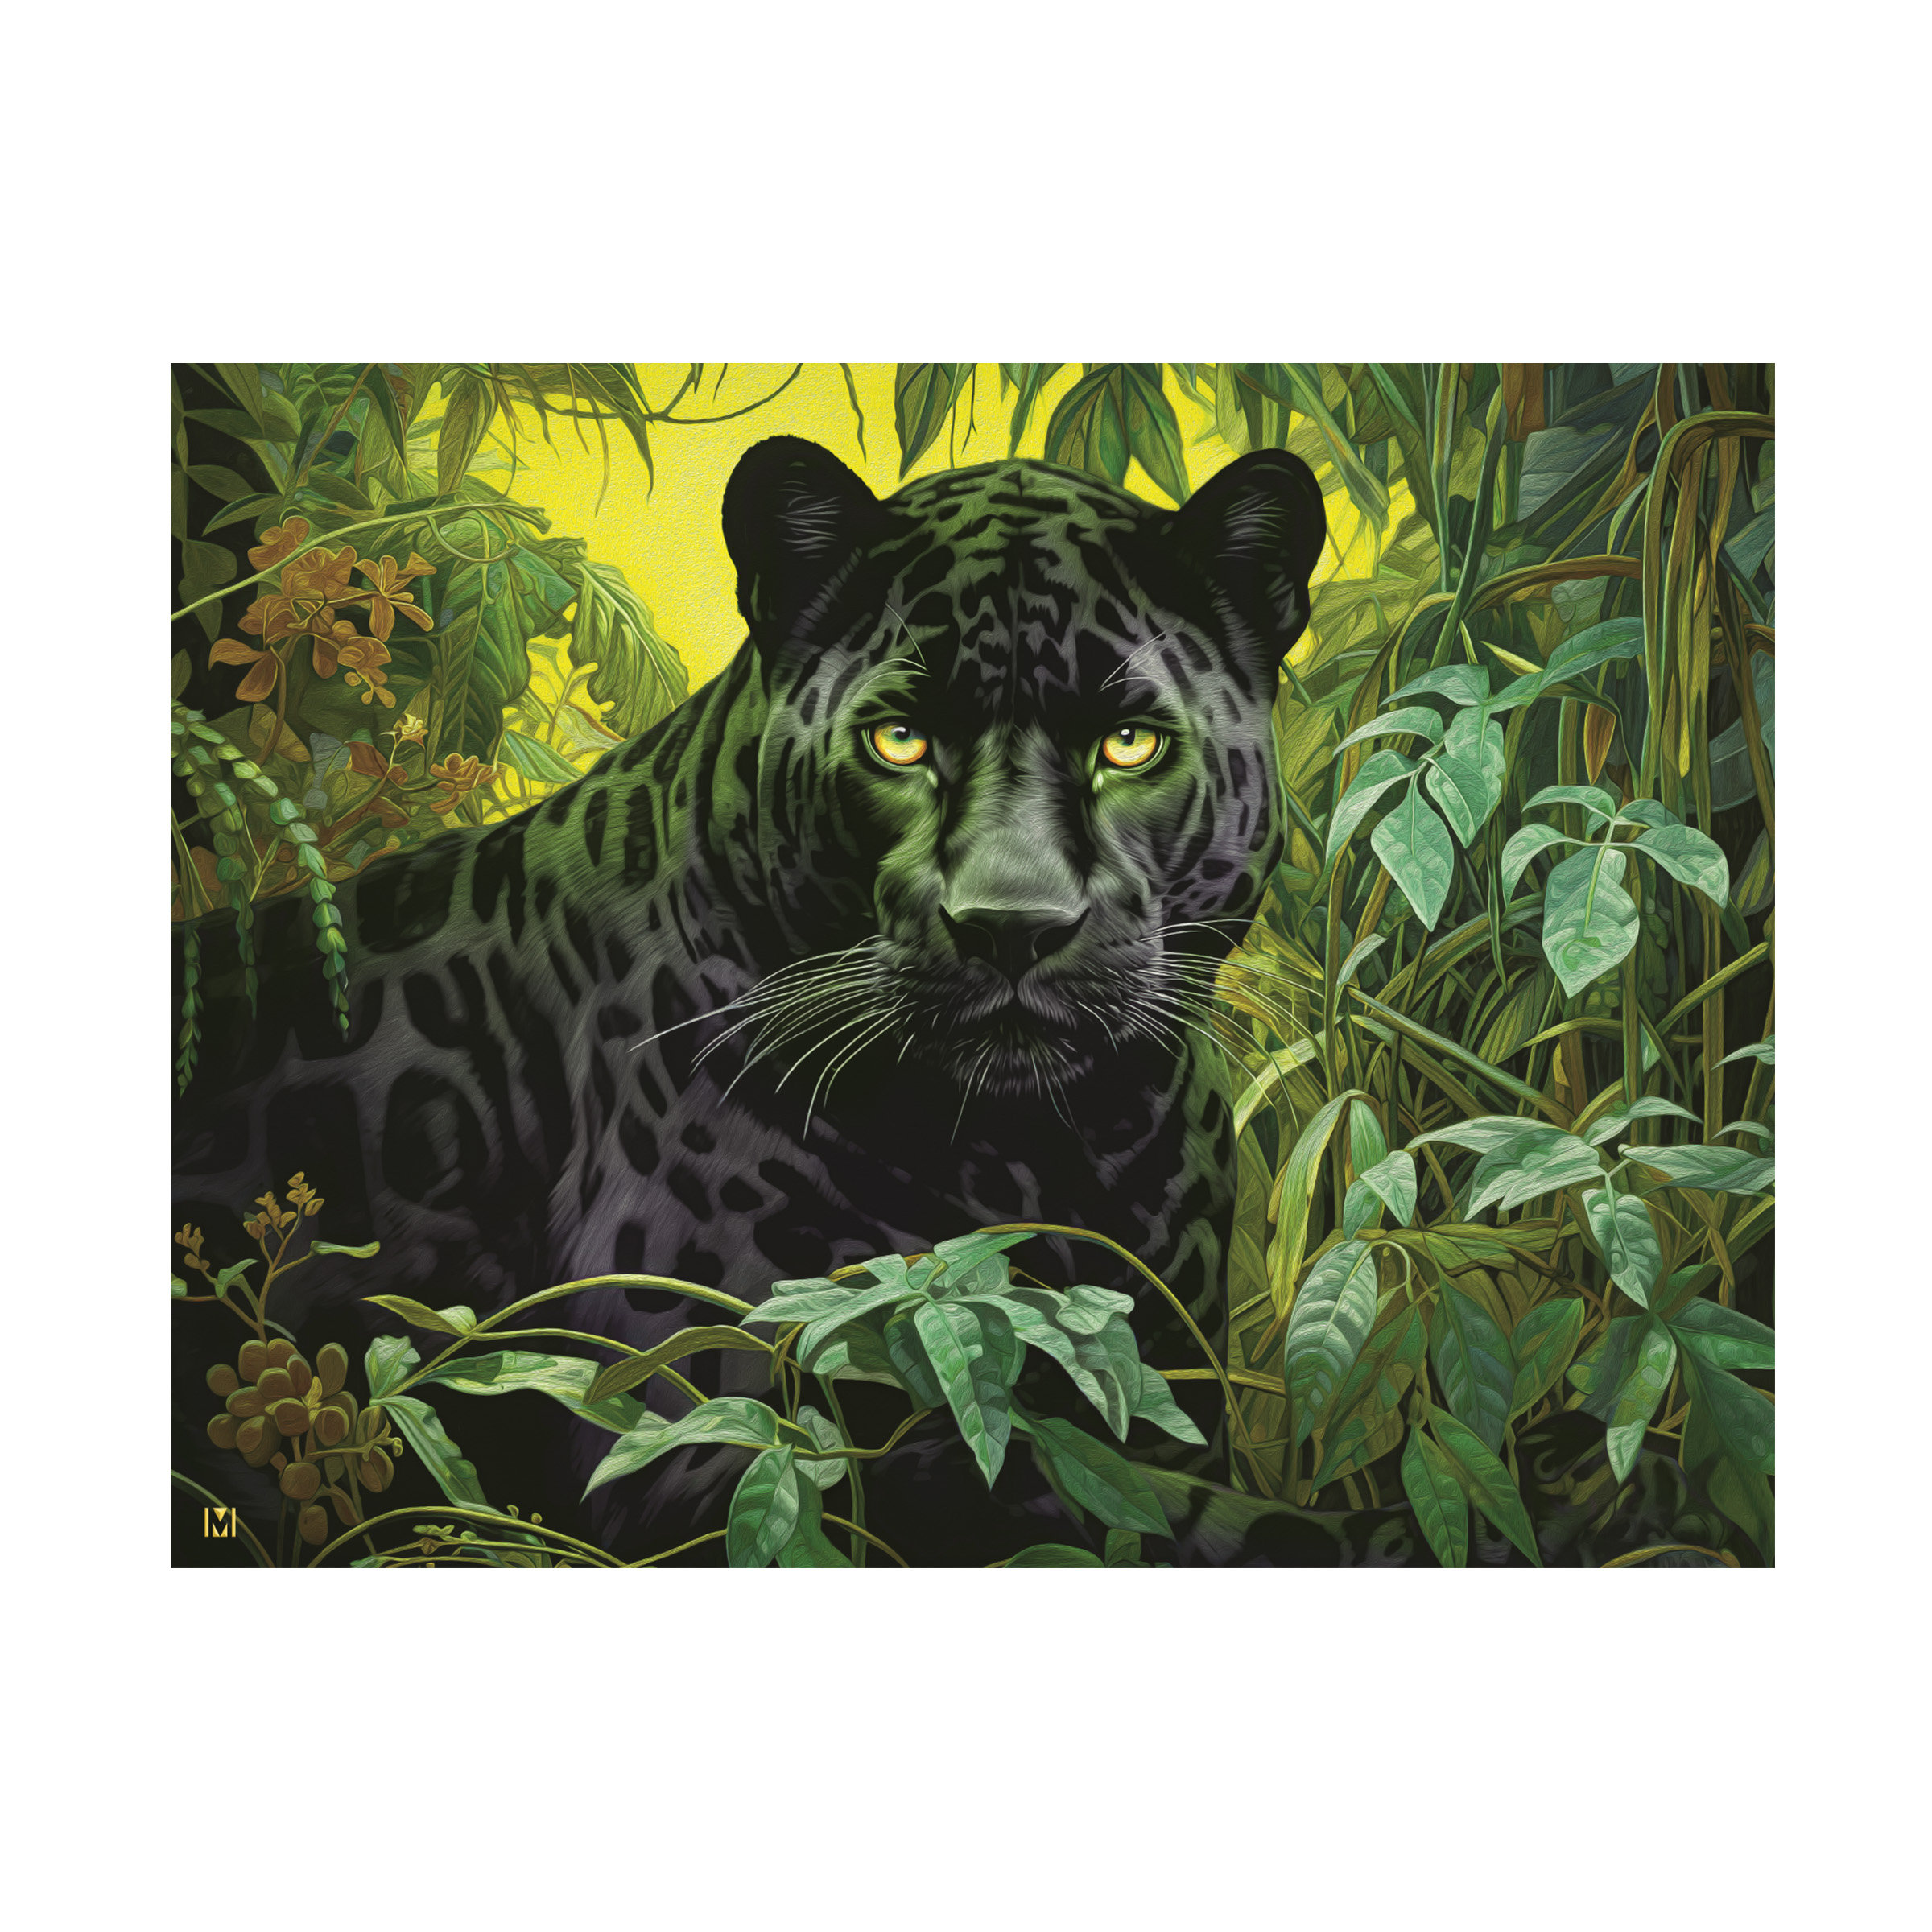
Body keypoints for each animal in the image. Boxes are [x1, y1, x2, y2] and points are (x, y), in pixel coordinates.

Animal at [173, 433, 1430, 1565]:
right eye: (899, 740)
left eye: (1129, 743)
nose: (1012, 925)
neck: (1057, 1147)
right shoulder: (722, 1434)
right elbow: (1112, 1502)